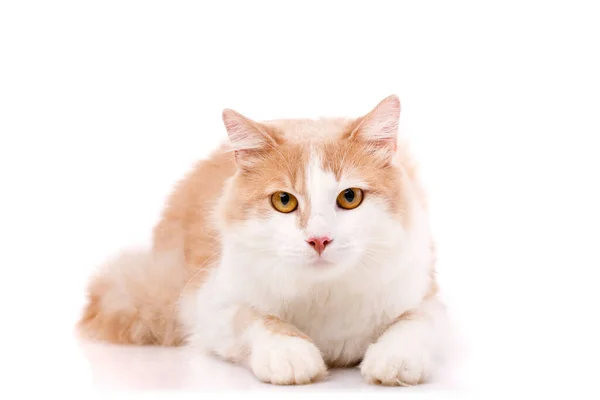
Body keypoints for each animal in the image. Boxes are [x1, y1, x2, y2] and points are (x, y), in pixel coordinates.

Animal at [77, 95, 448, 386]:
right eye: (284, 201)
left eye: (350, 197)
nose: (319, 240)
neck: (324, 294)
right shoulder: (211, 306)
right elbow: (259, 320)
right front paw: (291, 354)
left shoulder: (427, 297)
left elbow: (413, 323)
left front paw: (395, 359)